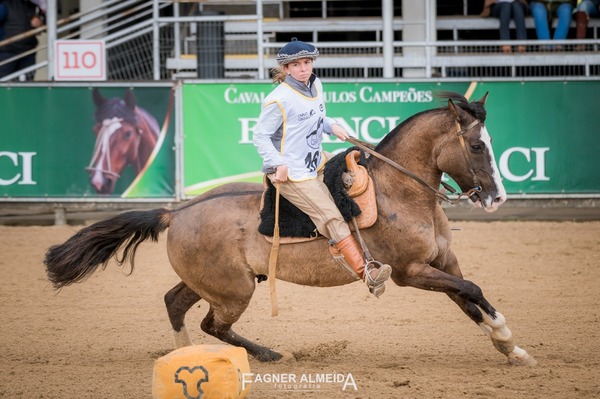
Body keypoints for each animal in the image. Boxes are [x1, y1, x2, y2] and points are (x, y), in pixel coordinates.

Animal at [44, 92, 536, 368]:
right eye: (477, 146)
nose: (497, 198)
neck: (399, 192)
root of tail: (177, 212)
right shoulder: (409, 272)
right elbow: (471, 291)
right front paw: (506, 336)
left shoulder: (442, 261)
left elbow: (468, 298)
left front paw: (510, 348)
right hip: (234, 291)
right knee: (212, 324)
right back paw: (272, 354)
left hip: (210, 282)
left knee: (175, 304)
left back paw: (189, 354)